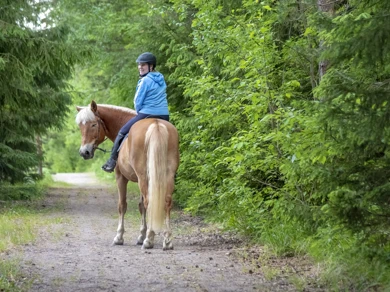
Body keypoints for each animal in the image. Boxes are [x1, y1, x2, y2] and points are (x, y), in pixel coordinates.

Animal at [75, 101, 180, 251]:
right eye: (80, 126)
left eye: (93, 124)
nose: (84, 152)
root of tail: (156, 125)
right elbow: (141, 206)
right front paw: (141, 236)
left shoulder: (121, 177)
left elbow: (122, 205)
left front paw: (119, 237)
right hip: (166, 176)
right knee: (166, 202)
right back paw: (167, 241)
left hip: (143, 177)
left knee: (149, 201)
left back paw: (149, 240)